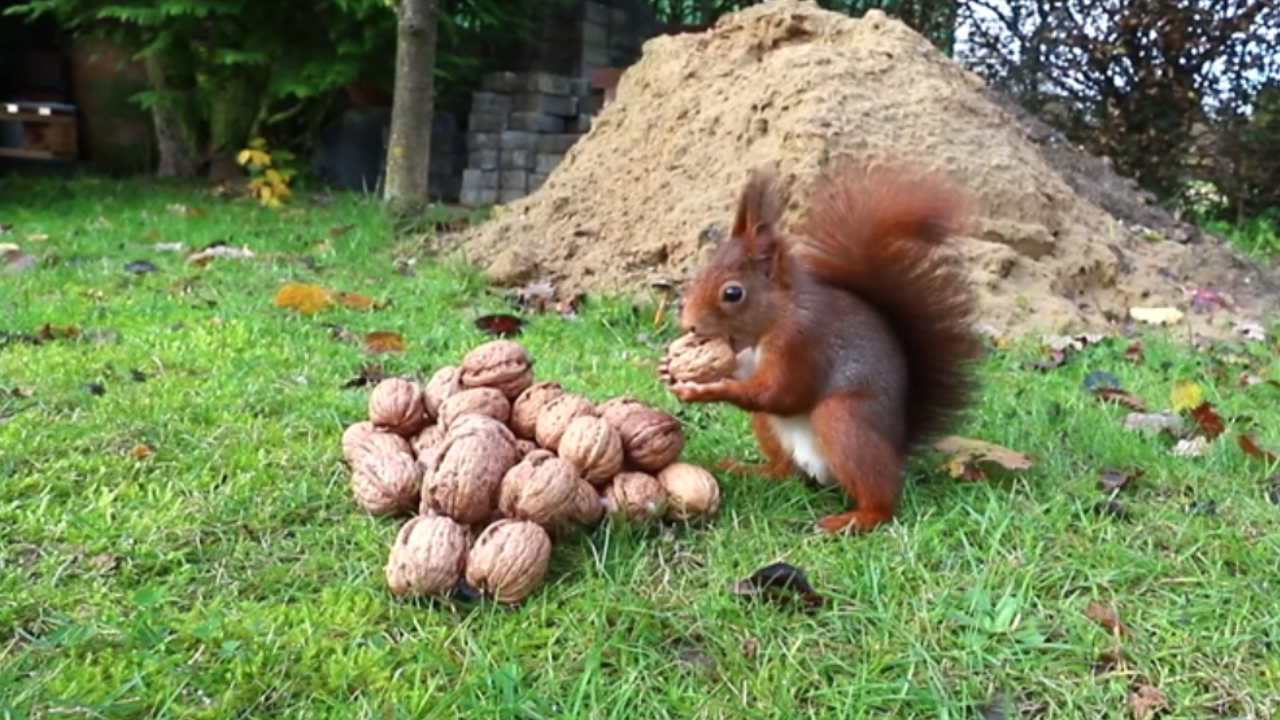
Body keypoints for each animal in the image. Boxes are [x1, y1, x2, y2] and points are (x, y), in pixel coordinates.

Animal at [660, 159, 977, 535]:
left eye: (733, 293)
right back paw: (751, 470)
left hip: (844, 419)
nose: (689, 324)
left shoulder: (801, 342)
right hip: (770, 430)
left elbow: (782, 392)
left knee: (882, 497)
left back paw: (857, 518)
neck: (777, 316)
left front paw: (708, 389)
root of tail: (896, 444)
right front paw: (668, 368)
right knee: (784, 470)